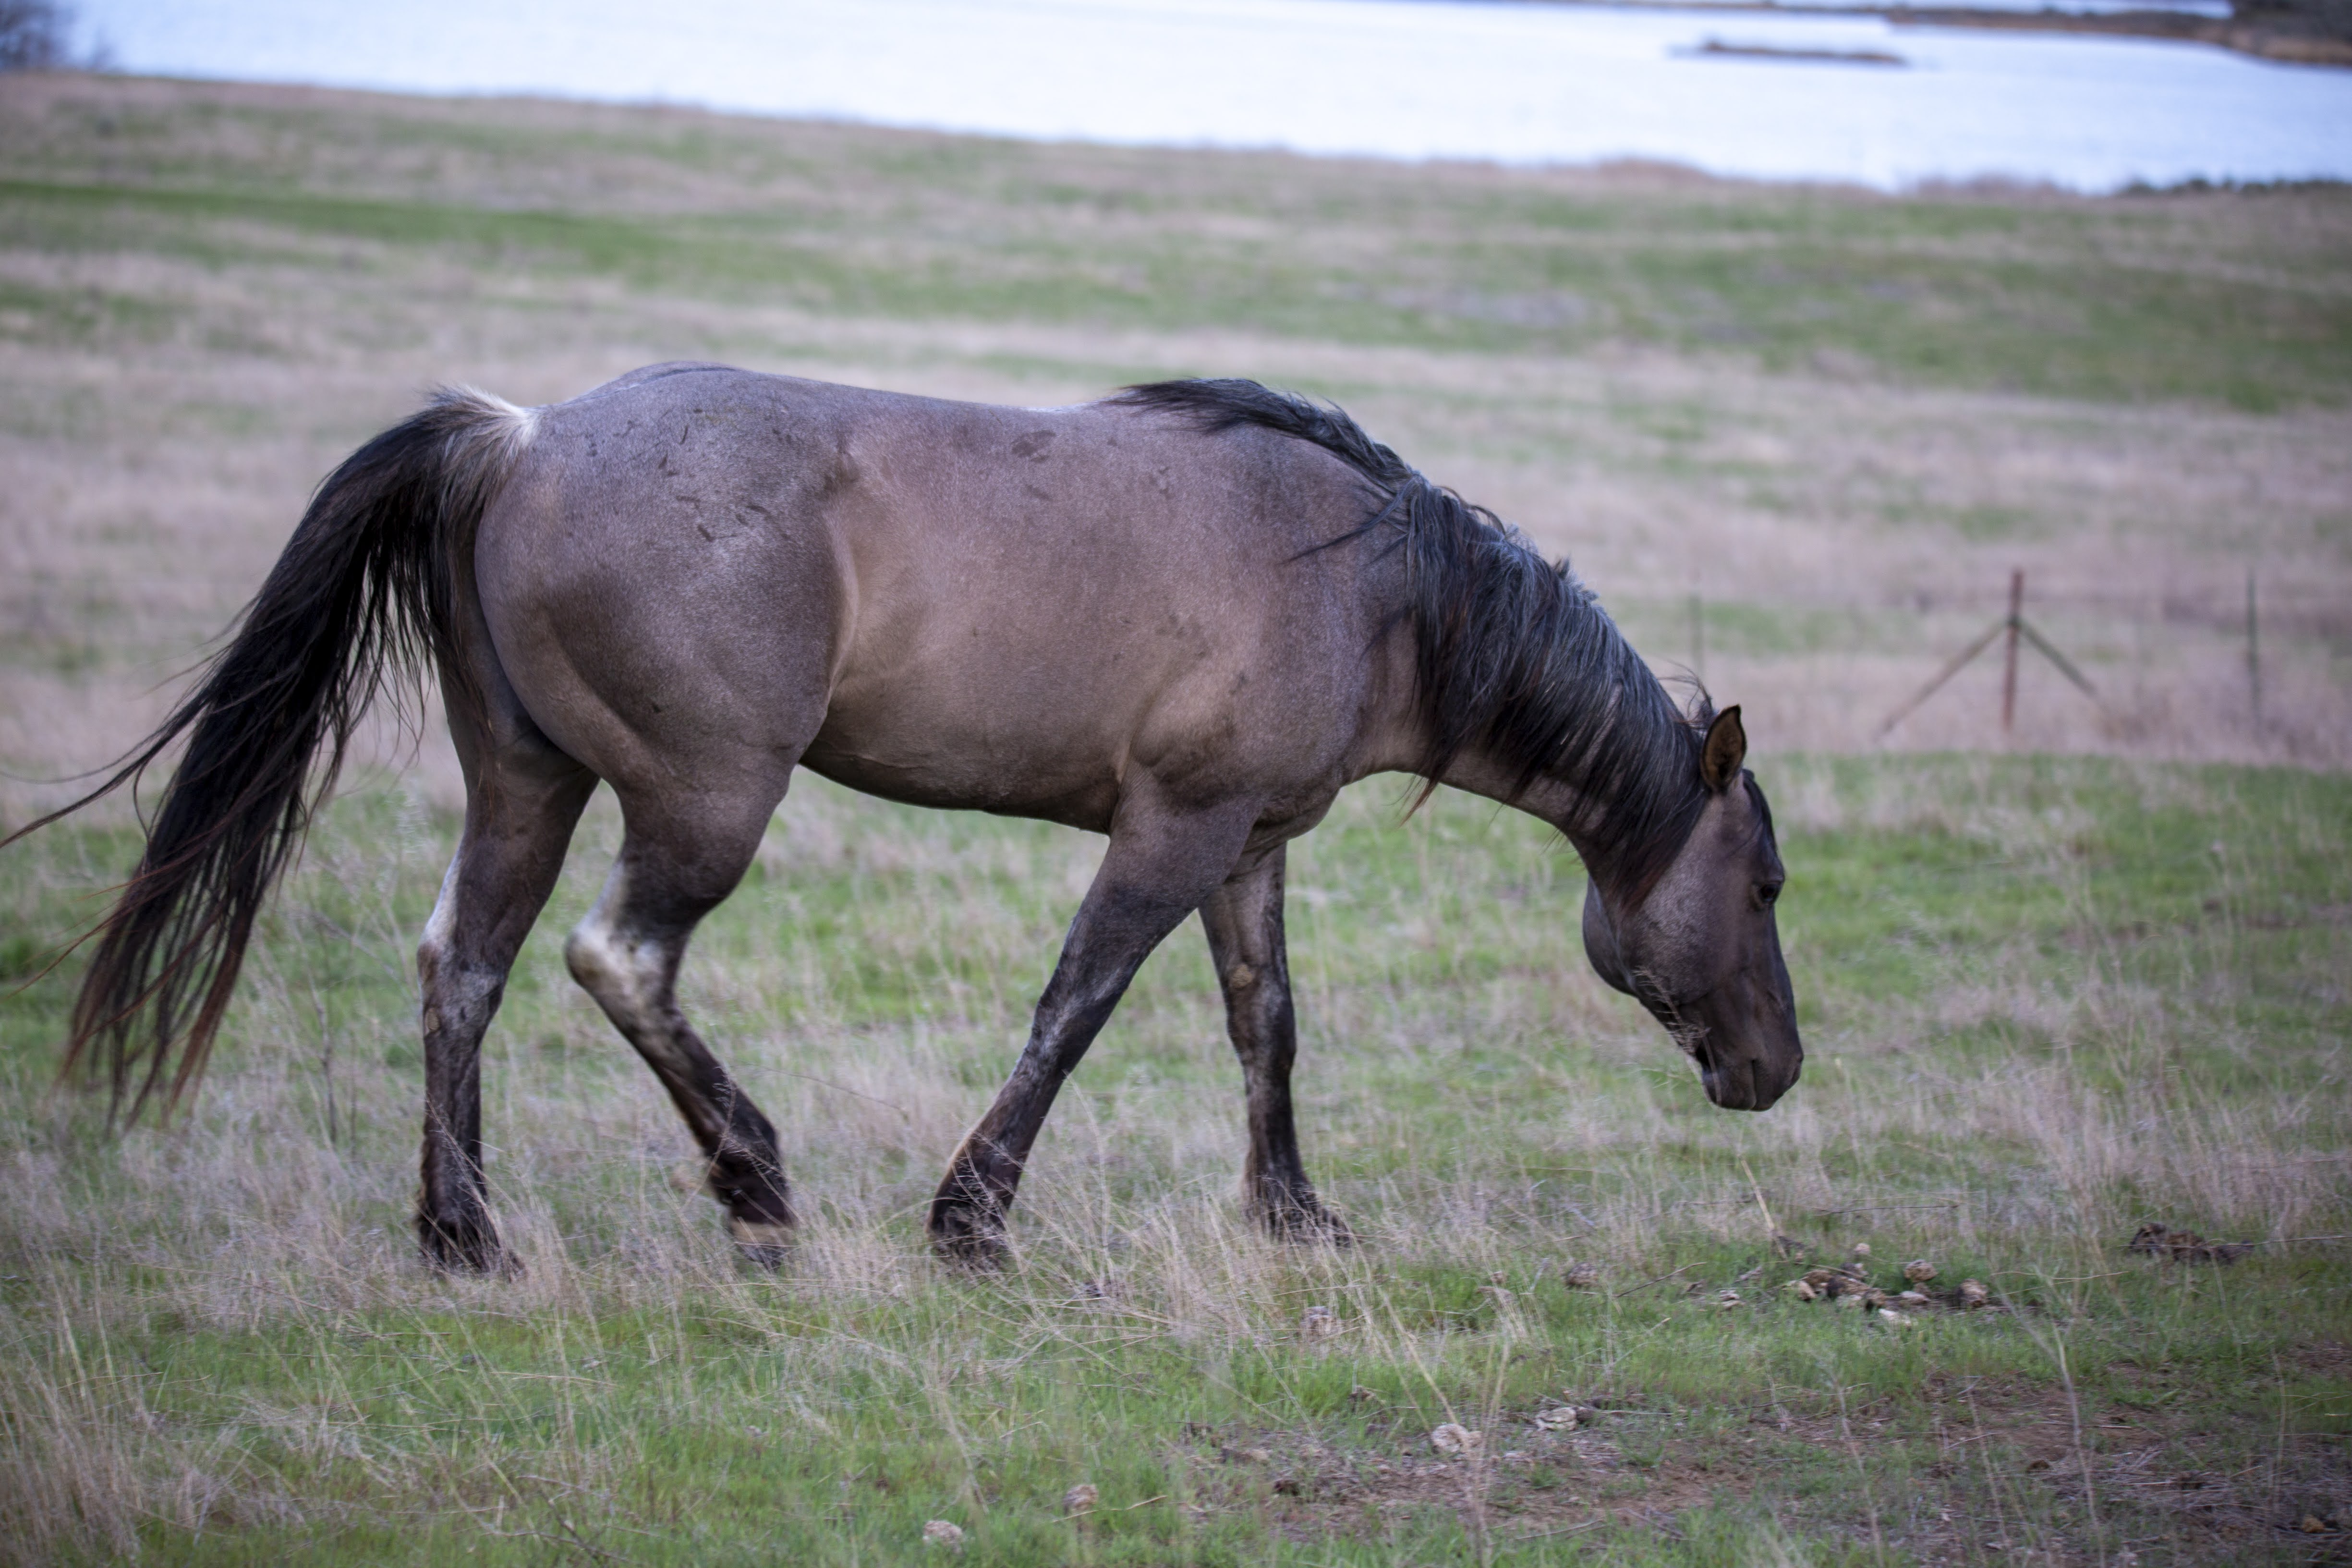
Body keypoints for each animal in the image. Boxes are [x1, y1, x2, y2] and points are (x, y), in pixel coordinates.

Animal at [9, 366, 1801, 1271]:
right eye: (1770, 881)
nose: (1776, 1066)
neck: (1369, 585)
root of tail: (518, 437)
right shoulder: (1171, 831)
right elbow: (1077, 1006)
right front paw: (970, 1218)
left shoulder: (1251, 843)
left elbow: (1265, 1021)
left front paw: (1294, 1214)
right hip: (700, 803)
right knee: (615, 957)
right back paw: (754, 1183)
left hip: (525, 780)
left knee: (466, 964)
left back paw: (466, 1234)